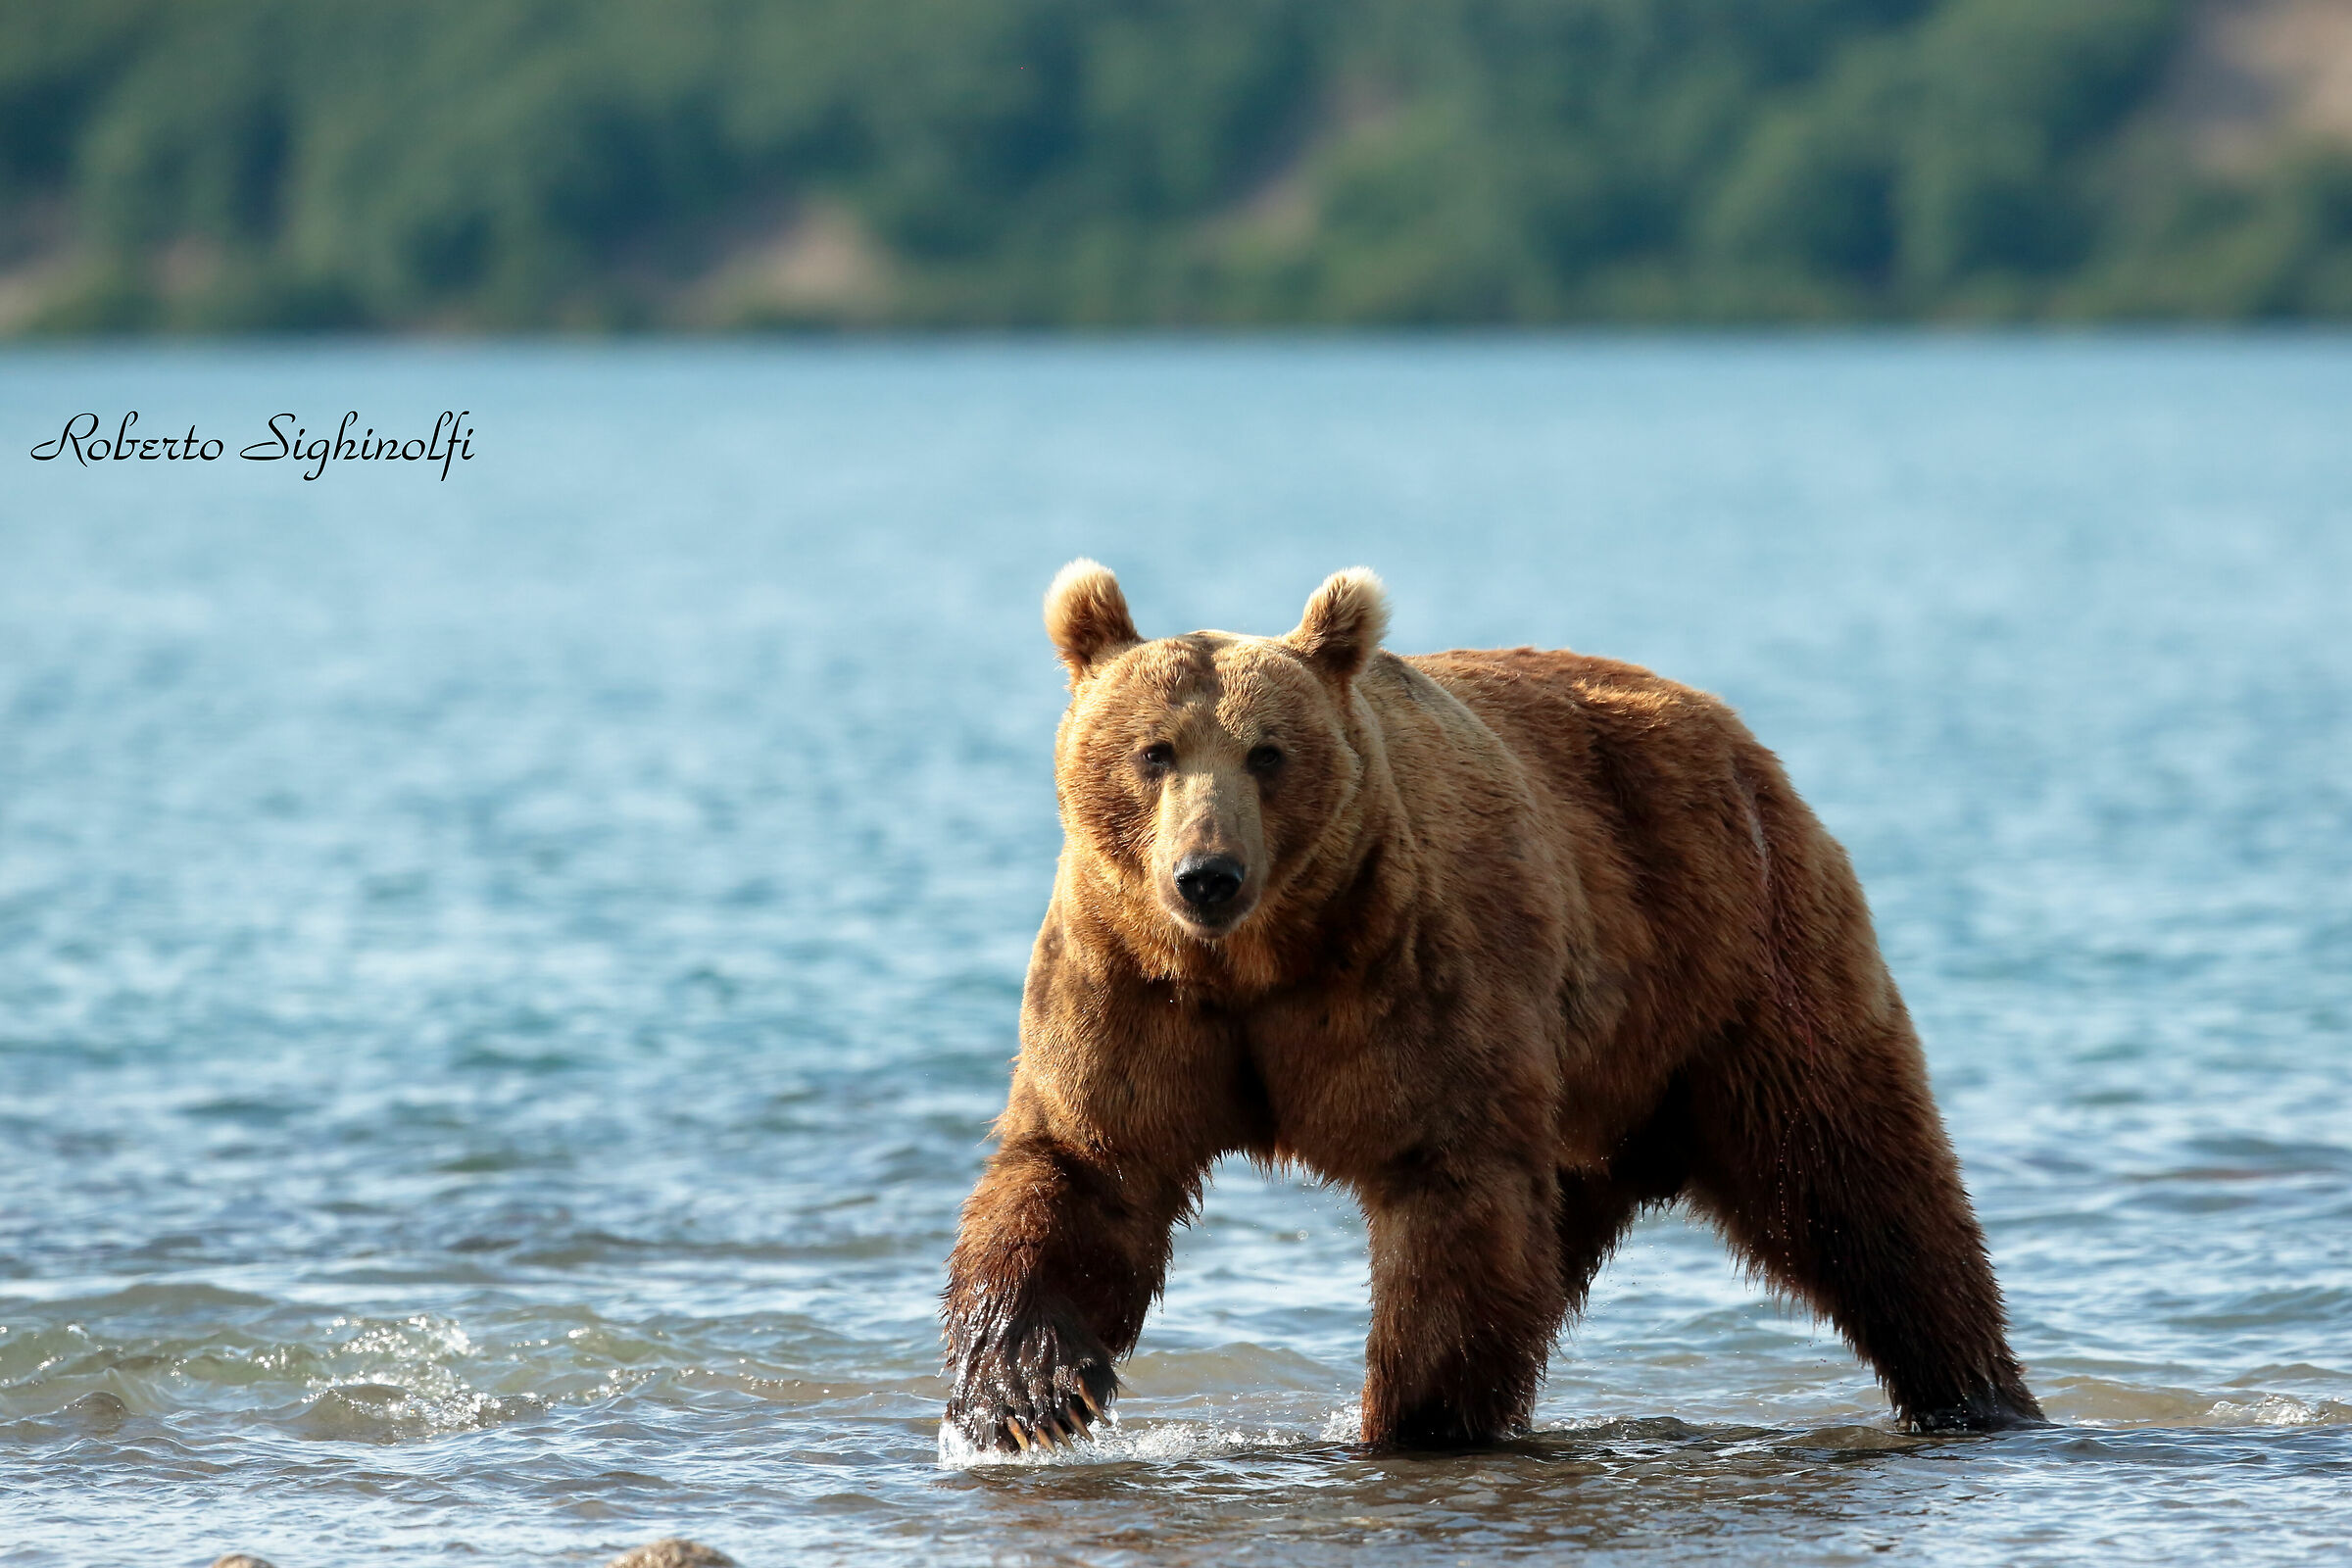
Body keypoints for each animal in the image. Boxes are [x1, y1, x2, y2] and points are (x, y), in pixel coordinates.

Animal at [942, 561, 2042, 1452]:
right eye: (1155, 751)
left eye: (1267, 753)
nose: (1207, 874)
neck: (1258, 962)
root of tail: (1733, 732)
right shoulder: (1131, 981)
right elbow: (1086, 1166)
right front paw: (1025, 1394)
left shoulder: (1411, 976)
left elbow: (1450, 1189)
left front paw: (1409, 1421)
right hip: (1601, 1072)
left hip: (1740, 960)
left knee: (1856, 1182)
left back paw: (1978, 1393)